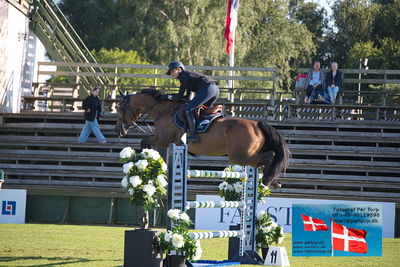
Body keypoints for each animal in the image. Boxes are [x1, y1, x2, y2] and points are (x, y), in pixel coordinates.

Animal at [114, 89, 290, 187]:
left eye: (120, 108)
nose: (118, 129)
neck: (163, 110)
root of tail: (258, 124)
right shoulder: (170, 142)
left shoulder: (163, 138)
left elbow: (144, 141)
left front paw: (147, 158)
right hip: (247, 156)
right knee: (267, 158)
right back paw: (273, 181)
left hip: (240, 156)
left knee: (270, 156)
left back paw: (267, 180)